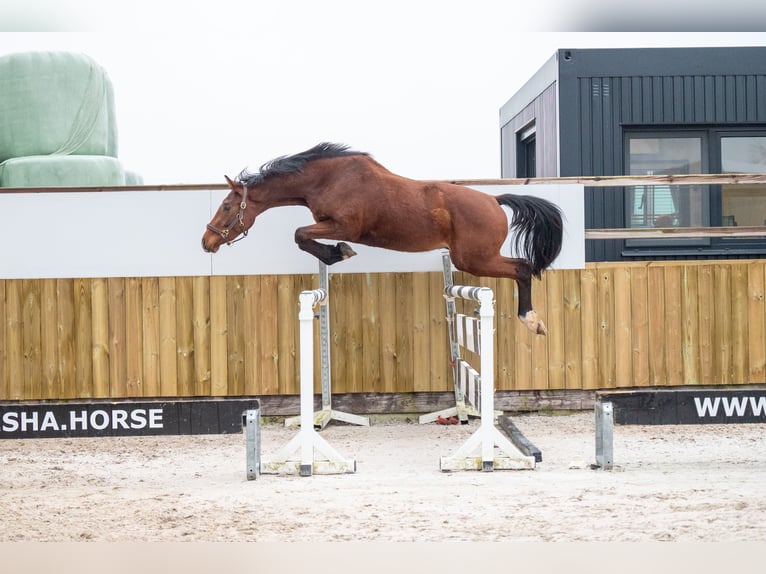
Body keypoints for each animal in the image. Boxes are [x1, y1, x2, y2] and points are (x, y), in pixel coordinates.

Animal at [204, 141, 564, 336]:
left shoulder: (344, 226)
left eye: (226, 207)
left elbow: (300, 235)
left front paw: (338, 253)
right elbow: (304, 237)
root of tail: (494, 200)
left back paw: (533, 321)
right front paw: (334, 253)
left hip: (474, 259)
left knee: (522, 268)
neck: (328, 179)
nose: (206, 242)